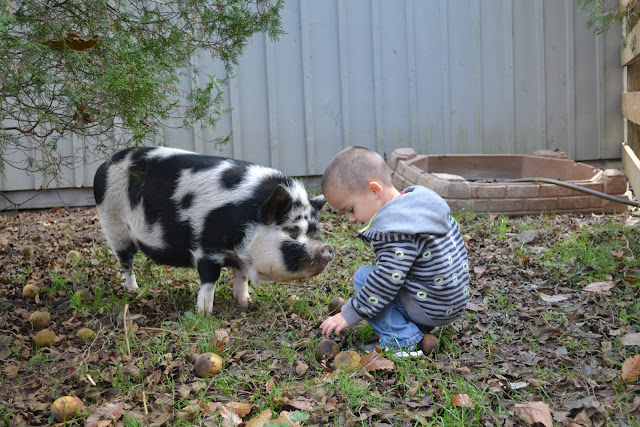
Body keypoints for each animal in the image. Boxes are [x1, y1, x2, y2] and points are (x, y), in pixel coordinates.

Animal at [93, 147, 334, 315]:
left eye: (315, 229)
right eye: (292, 229)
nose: (327, 249)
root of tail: (105, 164)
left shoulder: (239, 256)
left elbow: (241, 276)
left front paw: (246, 302)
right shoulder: (206, 248)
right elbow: (210, 279)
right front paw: (204, 313)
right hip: (113, 224)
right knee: (125, 261)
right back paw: (133, 290)